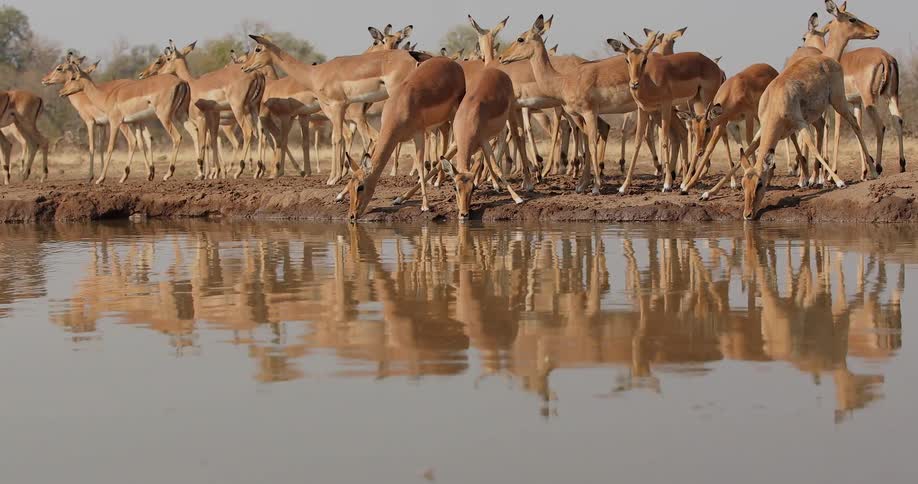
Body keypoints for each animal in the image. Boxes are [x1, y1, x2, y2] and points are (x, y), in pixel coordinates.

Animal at [58, 64, 189, 185]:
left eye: (73, 77)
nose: (61, 92)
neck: (105, 96)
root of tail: (181, 81)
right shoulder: (133, 122)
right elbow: (138, 142)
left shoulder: (116, 123)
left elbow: (113, 146)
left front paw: (102, 179)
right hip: (182, 115)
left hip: (164, 117)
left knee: (177, 137)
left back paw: (168, 174)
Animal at [344, 56, 466, 220]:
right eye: (349, 186)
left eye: (360, 187)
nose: (352, 215)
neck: (399, 107)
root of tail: (452, 62)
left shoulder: (418, 134)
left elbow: (420, 166)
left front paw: (425, 205)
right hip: (440, 122)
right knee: (447, 138)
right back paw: (410, 193)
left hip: (454, 114)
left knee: (455, 144)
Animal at [608, 30, 723, 193]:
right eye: (627, 60)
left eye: (644, 60)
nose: (634, 84)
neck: (650, 83)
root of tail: (715, 66)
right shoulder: (644, 109)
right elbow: (637, 142)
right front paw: (624, 186)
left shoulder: (666, 106)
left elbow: (663, 140)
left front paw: (667, 184)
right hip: (696, 104)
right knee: (695, 132)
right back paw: (686, 181)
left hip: (705, 101)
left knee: (714, 130)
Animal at [704, 1, 879, 220]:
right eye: (745, 184)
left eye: (760, 183)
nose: (747, 214)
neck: (776, 101)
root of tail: (829, 60)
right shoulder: (763, 129)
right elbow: (747, 151)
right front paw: (708, 192)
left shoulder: (800, 123)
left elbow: (811, 145)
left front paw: (837, 180)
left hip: (838, 102)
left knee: (854, 125)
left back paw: (870, 172)